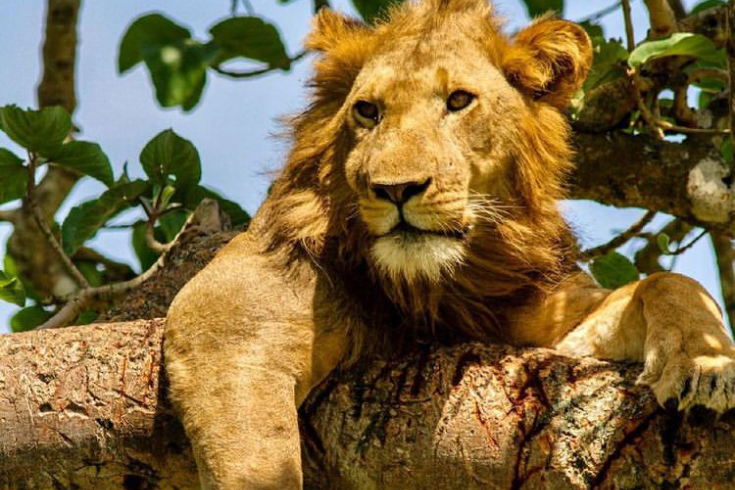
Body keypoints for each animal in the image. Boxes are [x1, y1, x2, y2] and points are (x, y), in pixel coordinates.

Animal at [164, 0, 735, 488]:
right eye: (367, 111)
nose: (396, 189)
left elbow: (668, 282)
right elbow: (256, 454)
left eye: (458, 101)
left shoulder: (550, 319)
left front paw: (707, 365)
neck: (435, 285)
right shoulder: (227, 311)